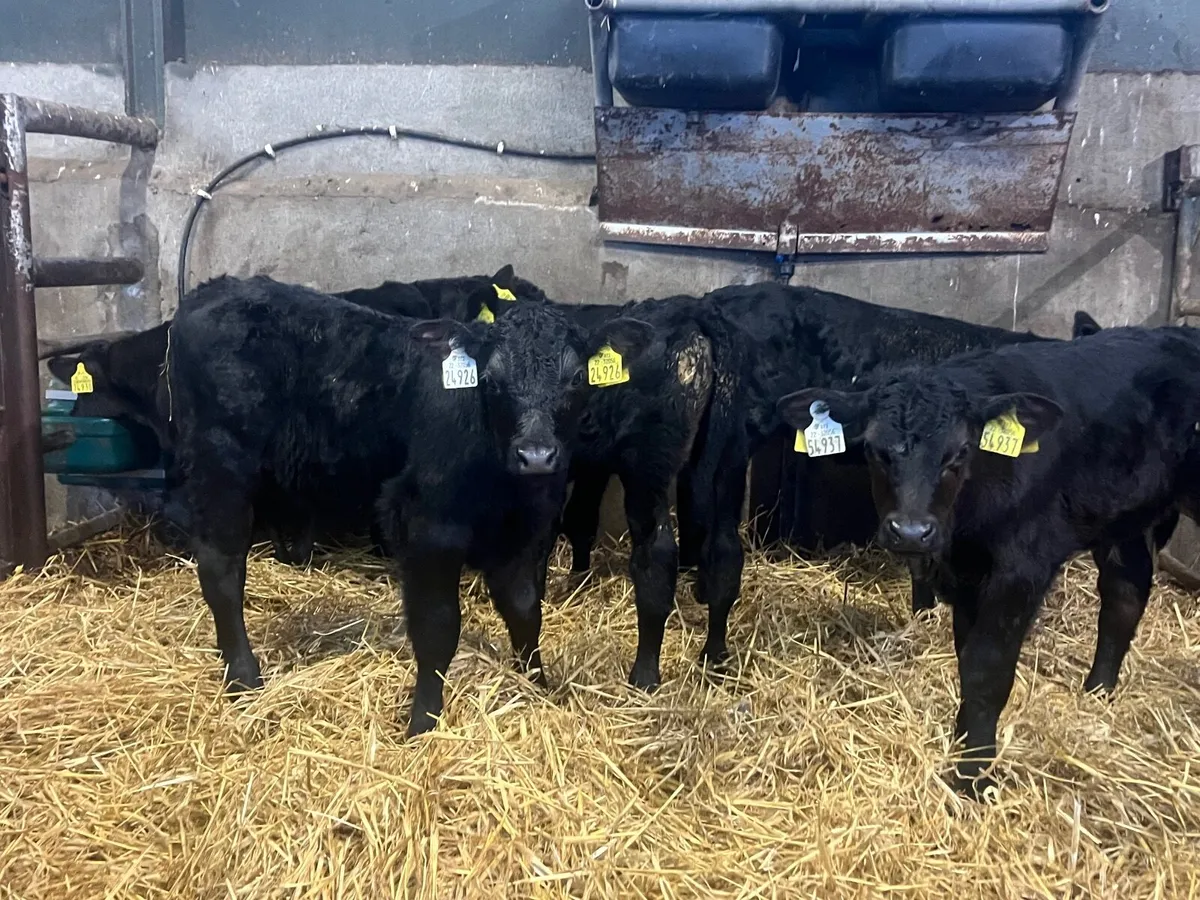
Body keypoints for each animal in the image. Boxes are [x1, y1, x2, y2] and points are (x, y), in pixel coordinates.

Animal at [167, 274, 653, 735]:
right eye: (492, 380)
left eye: (577, 378)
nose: (535, 455)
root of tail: (213, 290)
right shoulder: (428, 527)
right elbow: (438, 627)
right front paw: (423, 722)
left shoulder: (521, 532)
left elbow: (525, 611)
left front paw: (536, 686)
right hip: (220, 463)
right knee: (222, 568)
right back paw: (244, 677)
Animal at [776, 325, 1200, 796]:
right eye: (873, 450)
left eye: (960, 452)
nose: (911, 531)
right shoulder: (966, 576)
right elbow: (967, 661)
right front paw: (966, 751)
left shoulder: (1020, 570)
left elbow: (988, 670)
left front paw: (971, 779)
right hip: (1127, 517)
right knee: (1125, 594)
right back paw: (1098, 692)